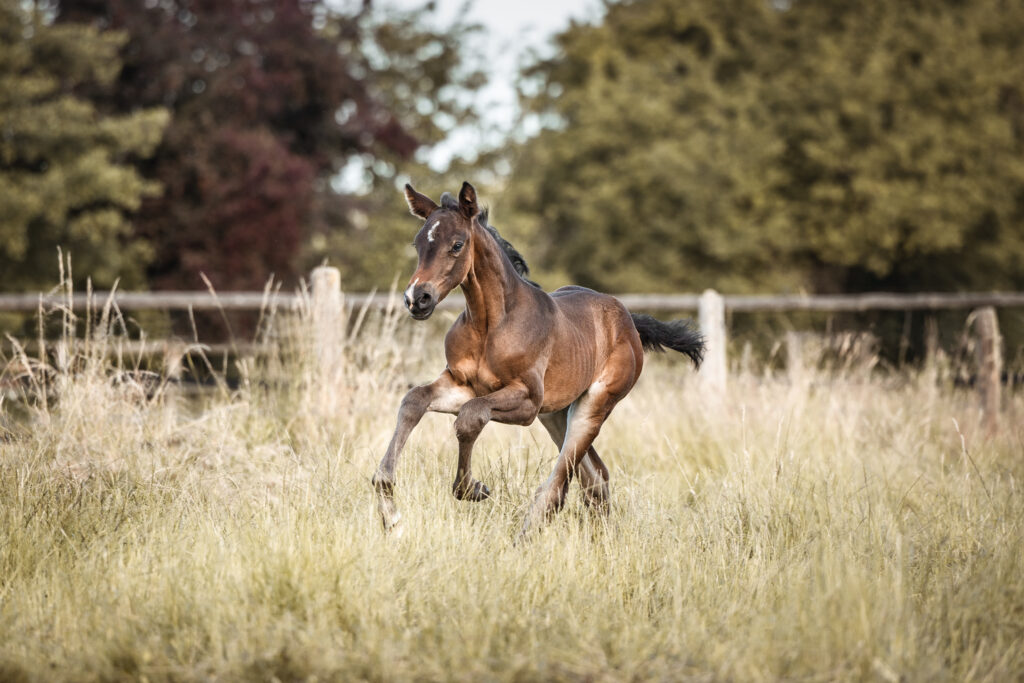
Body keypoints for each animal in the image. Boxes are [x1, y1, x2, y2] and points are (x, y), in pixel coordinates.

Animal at [376, 184, 704, 536]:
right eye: (419, 243)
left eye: (457, 244)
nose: (416, 299)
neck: (490, 324)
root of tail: (627, 318)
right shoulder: (461, 384)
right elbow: (414, 401)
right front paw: (390, 512)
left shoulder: (528, 401)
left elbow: (470, 417)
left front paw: (473, 488)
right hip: (557, 413)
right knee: (594, 476)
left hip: (593, 407)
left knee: (557, 487)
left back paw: (525, 538)